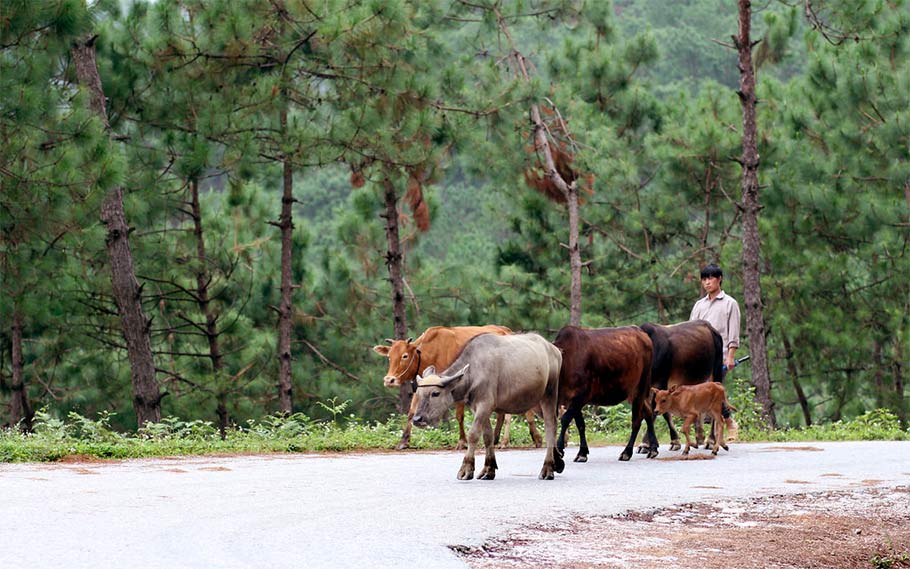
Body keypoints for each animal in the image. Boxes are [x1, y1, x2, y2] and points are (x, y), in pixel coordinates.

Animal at [376, 324, 544, 448]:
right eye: (389, 356)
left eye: (404, 356)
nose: (389, 380)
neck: (432, 352)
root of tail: (507, 330)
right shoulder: (423, 387)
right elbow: (412, 412)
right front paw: (403, 441)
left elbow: (459, 416)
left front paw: (462, 442)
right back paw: (497, 439)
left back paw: (529, 439)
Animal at [412, 332, 564, 480]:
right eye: (419, 393)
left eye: (435, 393)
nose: (417, 419)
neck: (473, 372)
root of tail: (554, 350)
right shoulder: (477, 408)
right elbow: (487, 436)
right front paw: (488, 469)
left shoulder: (485, 405)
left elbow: (473, 434)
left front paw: (466, 469)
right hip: (536, 402)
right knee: (552, 423)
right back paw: (557, 461)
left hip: (549, 394)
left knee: (550, 425)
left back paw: (548, 468)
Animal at [552, 324, 660, 462]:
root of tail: (641, 332)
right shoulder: (572, 400)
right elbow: (580, 424)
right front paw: (582, 453)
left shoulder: (581, 396)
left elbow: (565, 419)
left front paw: (559, 449)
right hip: (636, 392)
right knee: (648, 413)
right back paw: (653, 448)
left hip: (641, 387)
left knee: (636, 420)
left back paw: (627, 452)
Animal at [636, 322, 724, 450]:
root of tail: (711, 327)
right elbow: (662, 412)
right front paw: (675, 441)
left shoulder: (661, 382)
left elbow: (655, 411)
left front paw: (645, 443)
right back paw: (699, 437)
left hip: (716, 372)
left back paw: (710, 440)